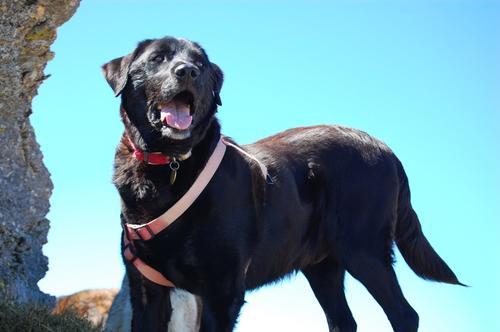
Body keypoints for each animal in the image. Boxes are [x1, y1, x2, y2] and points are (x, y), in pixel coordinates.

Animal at [101, 37, 460, 332]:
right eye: (157, 58)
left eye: (200, 64)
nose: (187, 71)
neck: (169, 164)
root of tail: (386, 149)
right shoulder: (147, 291)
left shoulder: (222, 290)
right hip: (322, 265)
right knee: (343, 320)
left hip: (364, 249)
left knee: (405, 315)